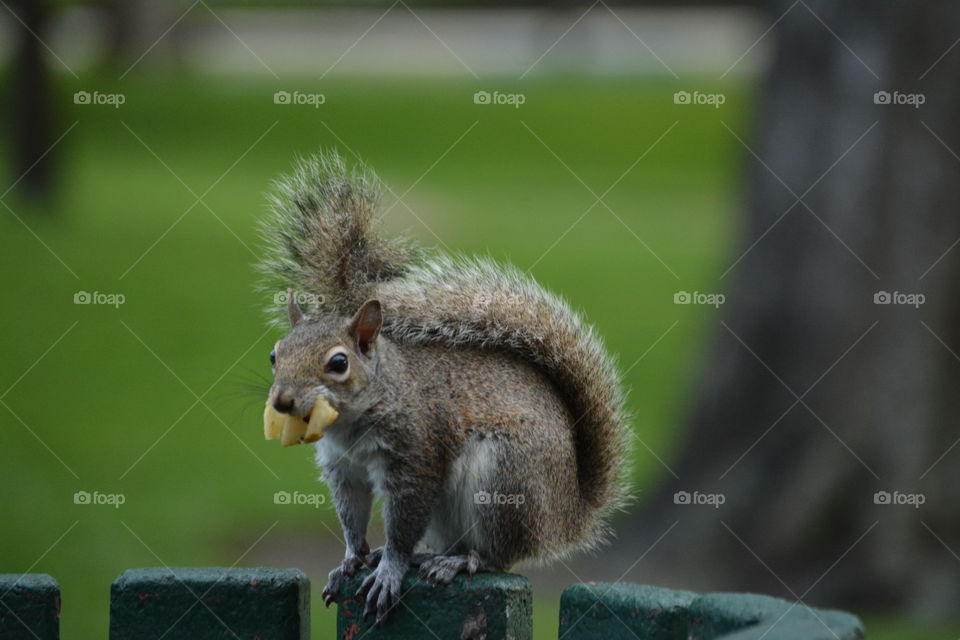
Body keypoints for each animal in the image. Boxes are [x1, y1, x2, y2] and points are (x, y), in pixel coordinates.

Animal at [257, 151, 630, 624]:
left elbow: (402, 525)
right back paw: (429, 557)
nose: (282, 401)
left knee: (497, 557)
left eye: (338, 363)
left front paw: (389, 570)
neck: (357, 418)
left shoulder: (416, 458)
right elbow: (352, 516)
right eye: (275, 355)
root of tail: (565, 518)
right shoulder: (344, 468)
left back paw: (459, 562)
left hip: (504, 481)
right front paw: (352, 560)